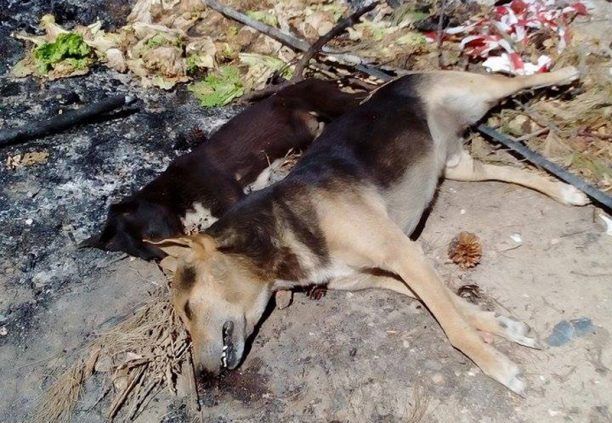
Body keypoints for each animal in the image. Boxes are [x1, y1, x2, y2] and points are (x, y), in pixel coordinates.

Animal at [82, 79, 364, 260]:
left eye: (151, 234)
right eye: (144, 256)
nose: (164, 258)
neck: (173, 193)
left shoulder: (224, 191)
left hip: (323, 99)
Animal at [152, 67, 588, 395]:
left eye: (188, 309)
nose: (203, 378)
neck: (279, 233)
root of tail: (396, 80)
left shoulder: (405, 255)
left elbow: (452, 328)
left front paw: (497, 367)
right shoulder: (380, 274)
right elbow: (454, 306)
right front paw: (502, 326)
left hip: (475, 91)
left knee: (511, 80)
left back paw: (564, 72)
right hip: (457, 166)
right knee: (506, 171)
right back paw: (566, 192)